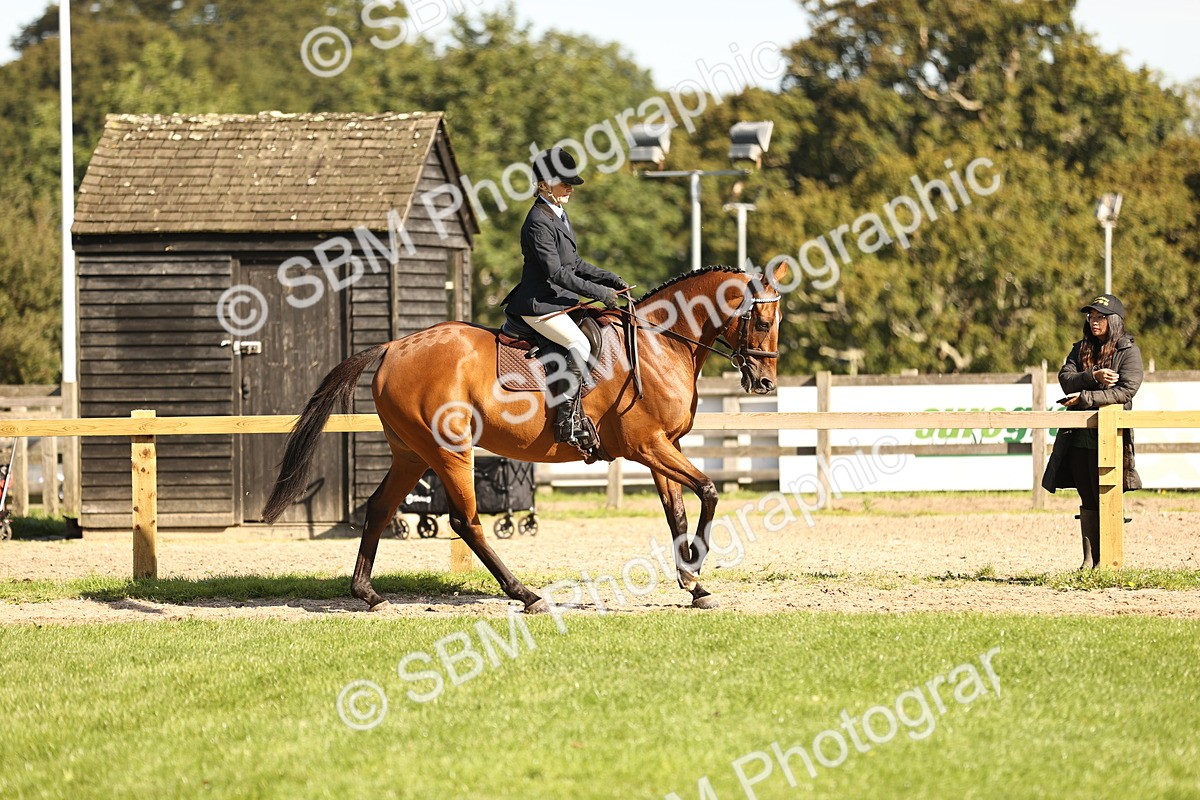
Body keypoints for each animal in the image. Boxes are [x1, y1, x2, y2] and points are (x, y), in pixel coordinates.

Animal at [262, 262, 786, 612]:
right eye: (762, 321)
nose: (764, 384)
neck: (660, 342)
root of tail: (394, 345)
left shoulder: (665, 447)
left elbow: (676, 509)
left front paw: (692, 581)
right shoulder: (648, 446)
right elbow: (709, 490)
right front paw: (695, 568)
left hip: (411, 453)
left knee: (379, 508)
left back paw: (368, 594)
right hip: (450, 451)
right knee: (465, 521)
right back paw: (525, 594)